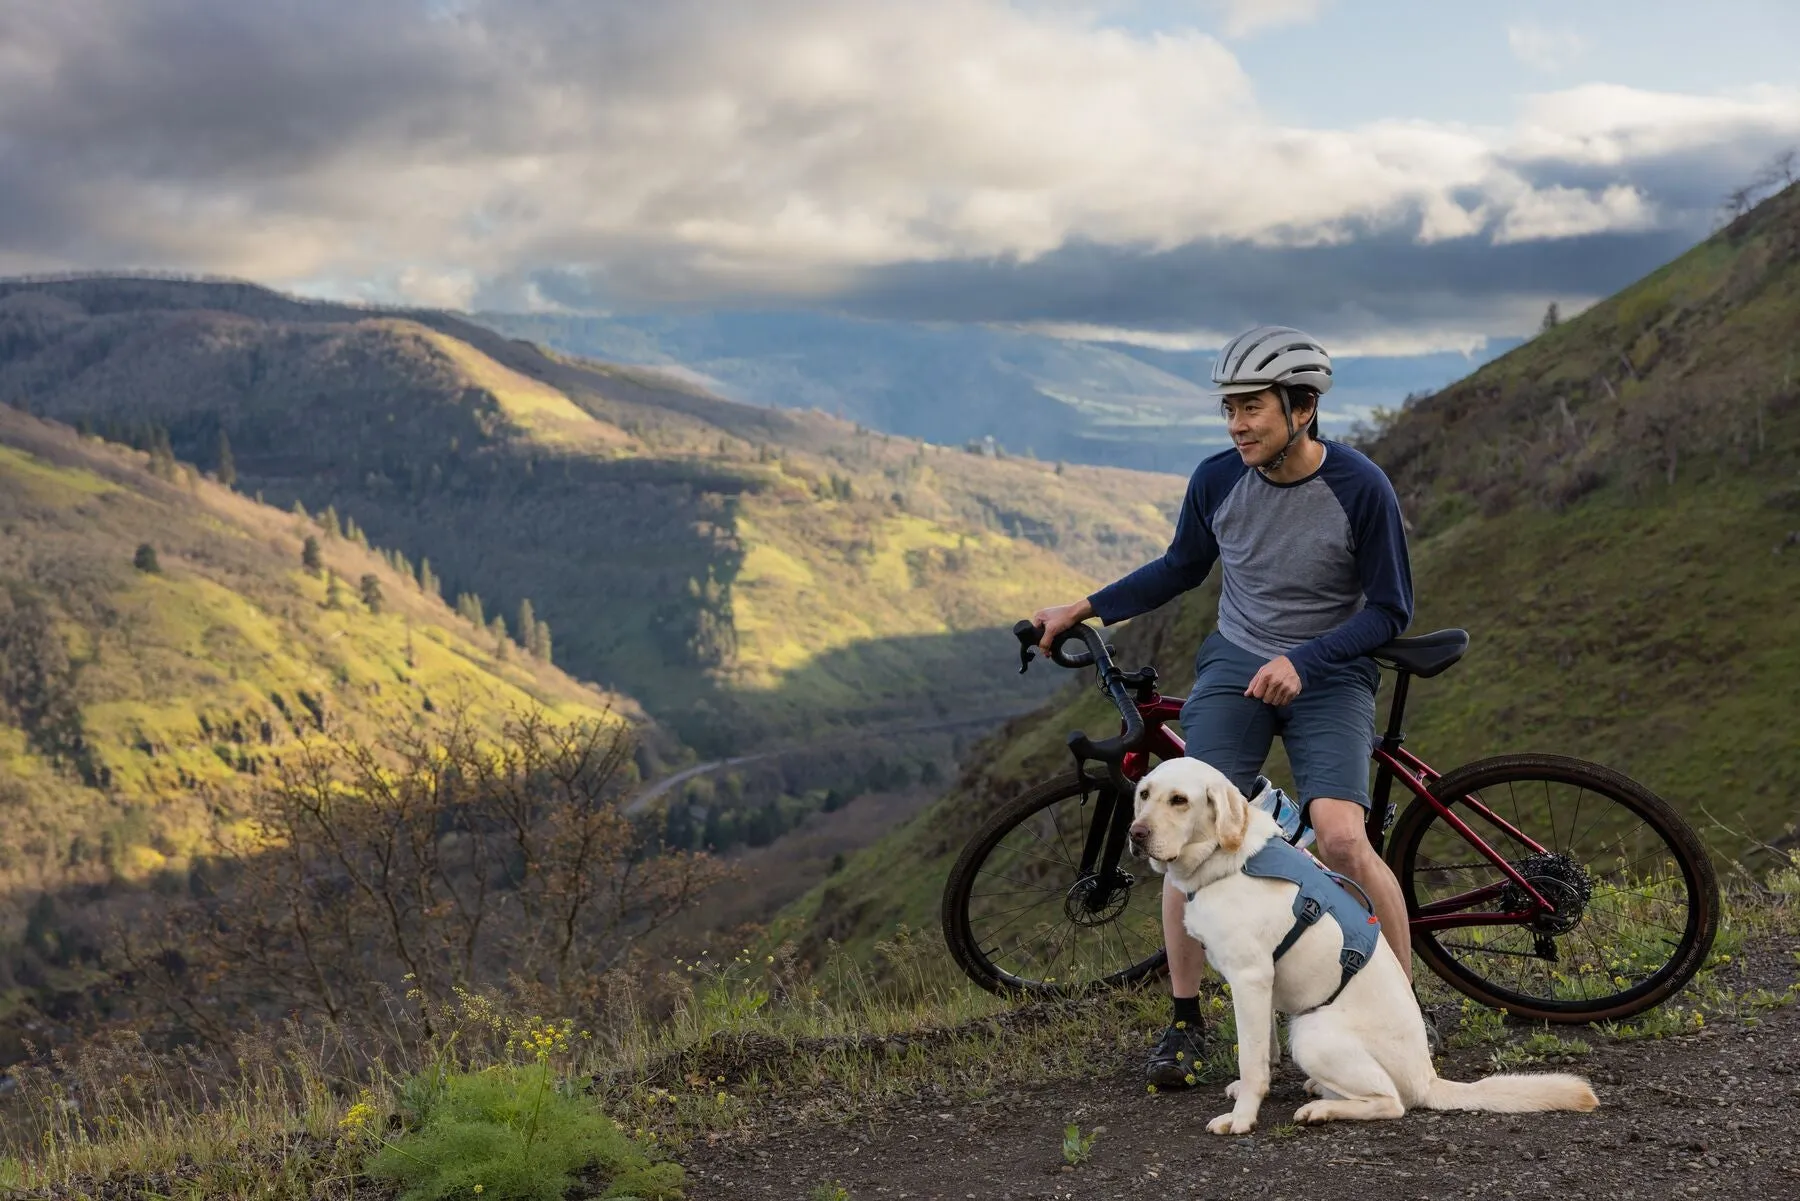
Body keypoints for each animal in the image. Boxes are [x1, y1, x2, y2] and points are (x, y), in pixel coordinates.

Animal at [1130, 759, 1598, 1137]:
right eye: (1144, 794)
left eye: (1180, 800)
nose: (1136, 834)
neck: (1227, 859)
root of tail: (1428, 1078)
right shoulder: (1257, 983)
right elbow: (1263, 1049)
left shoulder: (1250, 977)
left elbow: (1252, 1059)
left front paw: (1243, 1117)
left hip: (1311, 1031)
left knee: (1391, 1102)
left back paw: (1322, 1109)